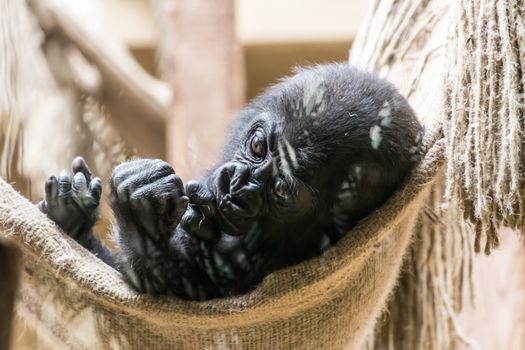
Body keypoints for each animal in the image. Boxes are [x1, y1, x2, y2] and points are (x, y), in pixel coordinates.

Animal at [37, 64, 422, 300]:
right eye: (258, 147)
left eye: (280, 190)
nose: (236, 186)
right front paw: (72, 211)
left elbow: (178, 291)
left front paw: (139, 216)